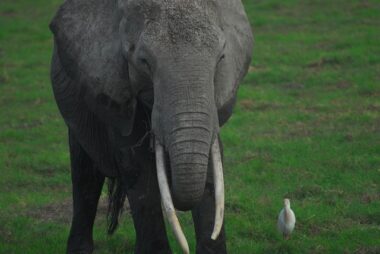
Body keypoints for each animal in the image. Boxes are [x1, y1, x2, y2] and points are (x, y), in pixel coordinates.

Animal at [49, 0, 252, 254]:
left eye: (221, 58)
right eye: (144, 62)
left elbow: (210, 166)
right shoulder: (115, 91)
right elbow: (137, 166)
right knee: (85, 176)